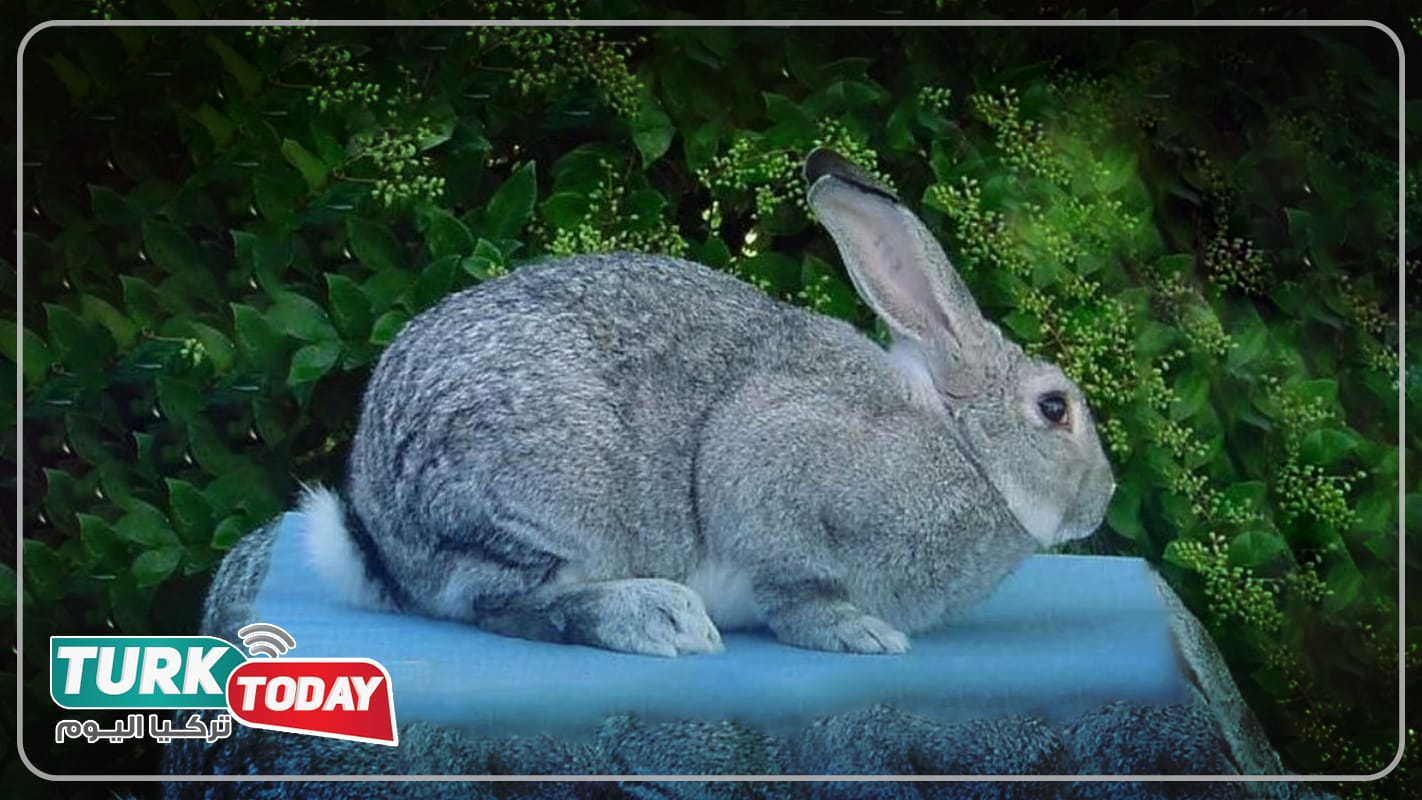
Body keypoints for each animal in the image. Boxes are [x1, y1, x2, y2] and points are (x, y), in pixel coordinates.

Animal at [298, 147, 1116, 658]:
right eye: (1054, 409)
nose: (1104, 497)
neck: (965, 450)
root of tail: (380, 531)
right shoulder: (769, 490)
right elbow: (797, 593)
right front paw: (859, 635)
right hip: (541, 504)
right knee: (501, 604)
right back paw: (657, 620)